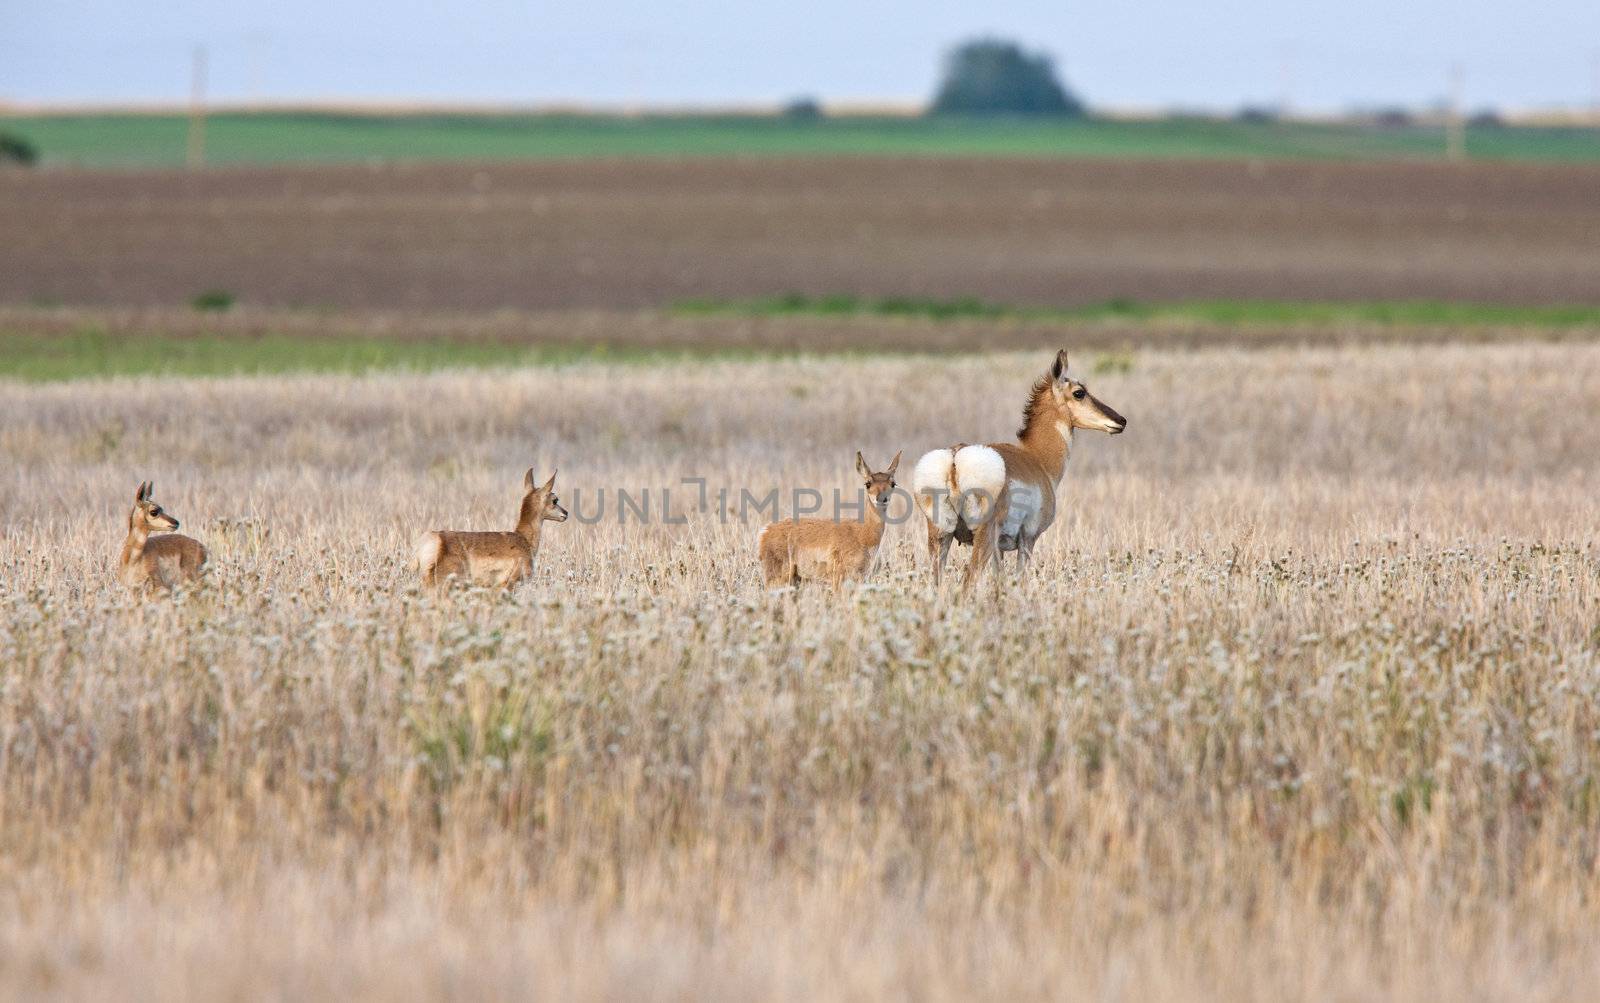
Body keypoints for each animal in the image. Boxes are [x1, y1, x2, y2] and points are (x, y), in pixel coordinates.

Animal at [752, 447, 896, 588]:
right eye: (868, 483)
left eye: (893, 483)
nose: (882, 499)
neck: (861, 532)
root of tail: (765, 530)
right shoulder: (839, 578)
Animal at [915, 351, 1126, 588]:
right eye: (1079, 392)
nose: (1121, 420)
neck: (1036, 458)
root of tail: (955, 459)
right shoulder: (1028, 540)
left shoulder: (999, 550)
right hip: (983, 538)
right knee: (968, 581)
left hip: (941, 537)